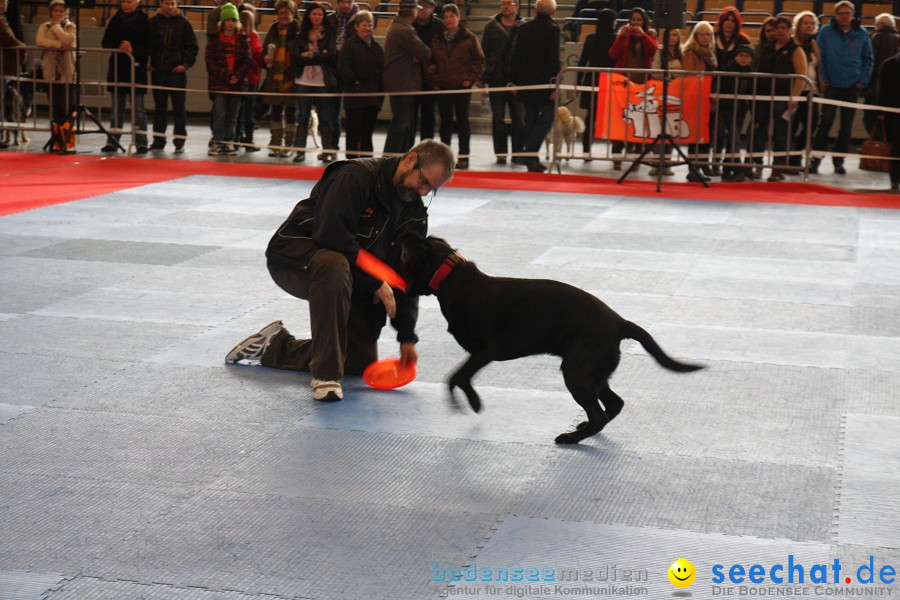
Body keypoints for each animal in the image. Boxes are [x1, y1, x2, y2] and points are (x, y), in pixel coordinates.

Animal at [400, 234, 704, 446]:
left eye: (410, 253)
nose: (407, 230)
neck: (453, 279)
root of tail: (620, 323)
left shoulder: (485, 351)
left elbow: (456, 377)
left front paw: (472, 403)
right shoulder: (480, 354)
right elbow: (459, 376)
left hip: (577, 373)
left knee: (600, 414)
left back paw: (571, 438)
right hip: (592, 373)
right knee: (613, 405)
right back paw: (581, 428)